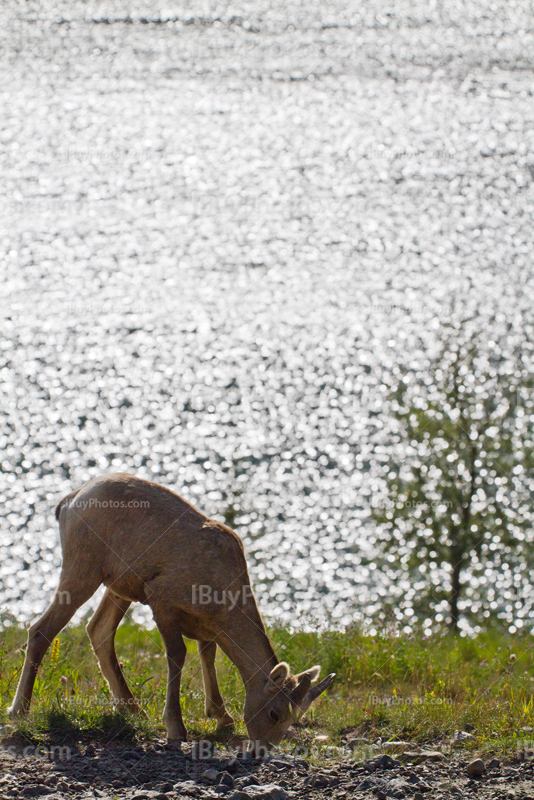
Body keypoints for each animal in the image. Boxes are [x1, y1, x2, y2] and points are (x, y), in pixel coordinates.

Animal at [8, 476, 336, 752]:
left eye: (294, 718)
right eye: (274, 713)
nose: (262, 750)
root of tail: (70, 500)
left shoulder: (207, 626)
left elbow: (208, 656)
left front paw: (222, 716)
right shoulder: (161, 602)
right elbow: (177, 655)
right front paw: (176, 729)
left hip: (118, 588)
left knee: (98, 630)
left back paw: (132, 708)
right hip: (82, 569)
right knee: (41, 630)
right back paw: (19, 712)